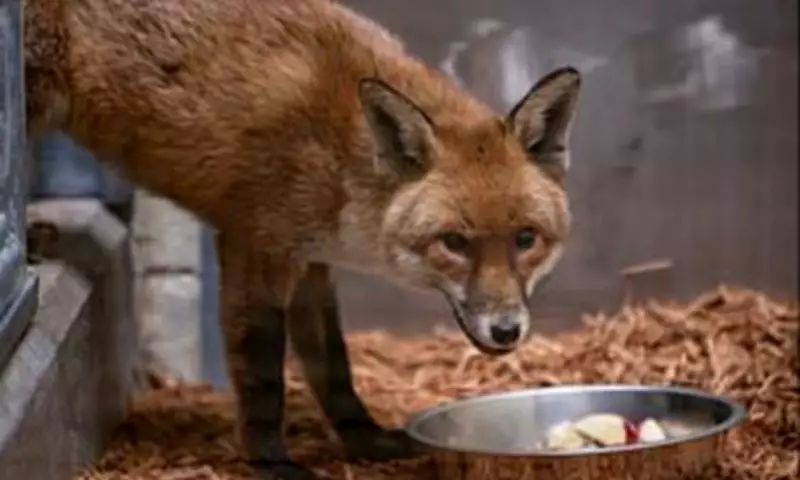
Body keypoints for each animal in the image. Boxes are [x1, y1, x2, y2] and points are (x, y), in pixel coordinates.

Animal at [24, 0, 581, 478]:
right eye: (455, 243)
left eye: (525, 238)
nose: (507, 331)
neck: (339, 156)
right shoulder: (254, 247)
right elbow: (263, 373)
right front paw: (271, 462)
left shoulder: (311, 262)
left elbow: (334, 367)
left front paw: (366, 441)